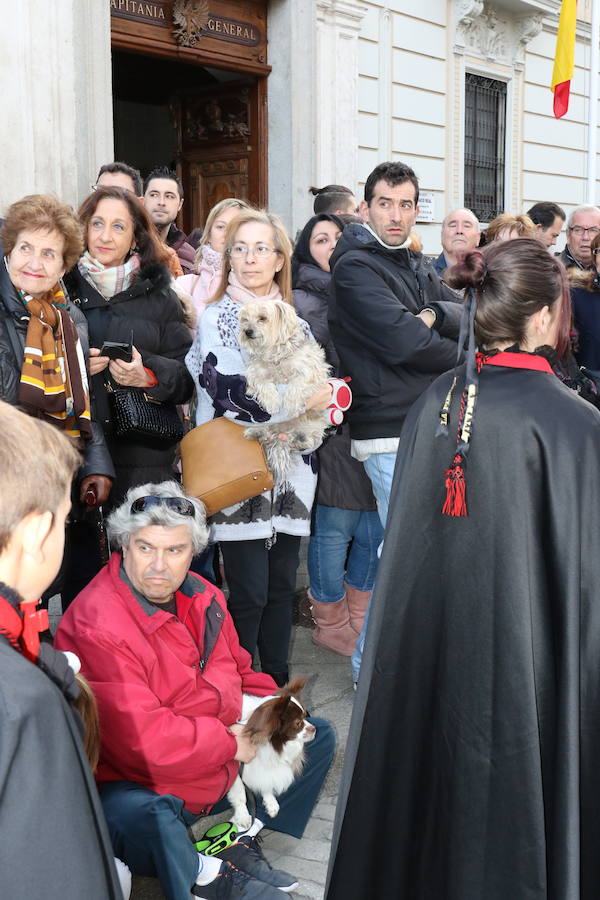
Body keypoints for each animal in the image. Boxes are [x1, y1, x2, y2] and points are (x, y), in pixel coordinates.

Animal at [227, 676, 316, 828]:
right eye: (298, 723)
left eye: (306, 716)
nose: (314, 729)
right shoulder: (234, 770)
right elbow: (239, 793)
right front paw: (243, 816)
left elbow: (266, 780)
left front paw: (270, 802)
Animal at [239, 300, 332, 486]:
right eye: (244, 319)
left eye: (262, 318)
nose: (247, 331)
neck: (274, 354)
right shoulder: (255, 373)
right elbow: (263, 384)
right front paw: (273, 403)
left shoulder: (312, 370)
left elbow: (296, 384)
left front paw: (292, 405)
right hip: (269, 426)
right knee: (268, 433)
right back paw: (257, 433)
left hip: (313, 425)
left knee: (308, 437)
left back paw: (300, 440)